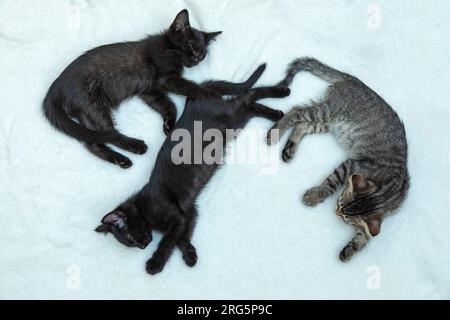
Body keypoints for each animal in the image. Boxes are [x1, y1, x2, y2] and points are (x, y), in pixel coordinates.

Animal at [43, 9, 222, 169]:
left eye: (203, 53)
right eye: (190, 45)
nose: (197, 59)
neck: (167, 47)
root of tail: (54, 89)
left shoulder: (148, 91)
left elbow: (168, 104)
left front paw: (169, 124)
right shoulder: (165, 79)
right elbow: (189, 86)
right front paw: (211, 94)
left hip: (88, 114)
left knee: (93, 142)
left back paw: (121, 160)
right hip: (94, 107)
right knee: (110, 135)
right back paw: (136, 146)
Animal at [96, 65, 290, 276]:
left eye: (131, 238)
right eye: (131, 244)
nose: (143, 246)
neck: (143, 206)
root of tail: (193, 98)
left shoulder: (176, 217)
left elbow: (168, 241)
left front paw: (155, 263)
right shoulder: (189, 212)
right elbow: (181, 238)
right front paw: (190, 255)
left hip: (230, 117)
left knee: (248, 96)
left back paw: (282, 93)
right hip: (234, 124)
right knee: (250, 104)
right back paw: (276, 113)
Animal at [268, 58, 410, 262]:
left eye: (345, 217)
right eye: (340, 202)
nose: (336, 211)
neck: (388, 191)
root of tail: (354, 80)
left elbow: (368, 235)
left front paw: (353, 248)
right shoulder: (352, 164)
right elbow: (332, 182)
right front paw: (315, 195)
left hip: (328, 123)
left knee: (302, 125)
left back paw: (290, 149)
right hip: (328, 111)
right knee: (296, 112)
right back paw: (275, 133)